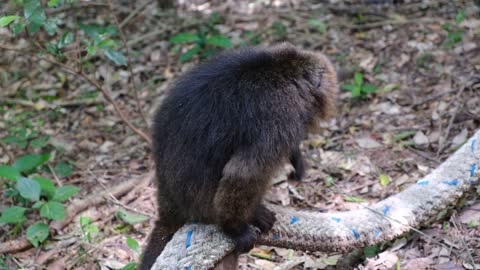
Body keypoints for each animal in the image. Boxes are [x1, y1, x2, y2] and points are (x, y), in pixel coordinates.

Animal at [140, 43, 338, 268]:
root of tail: (168, 202)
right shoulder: (281, 115)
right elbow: (243, 174)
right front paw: (235, 230)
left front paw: (296, 155)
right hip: (204, 208)